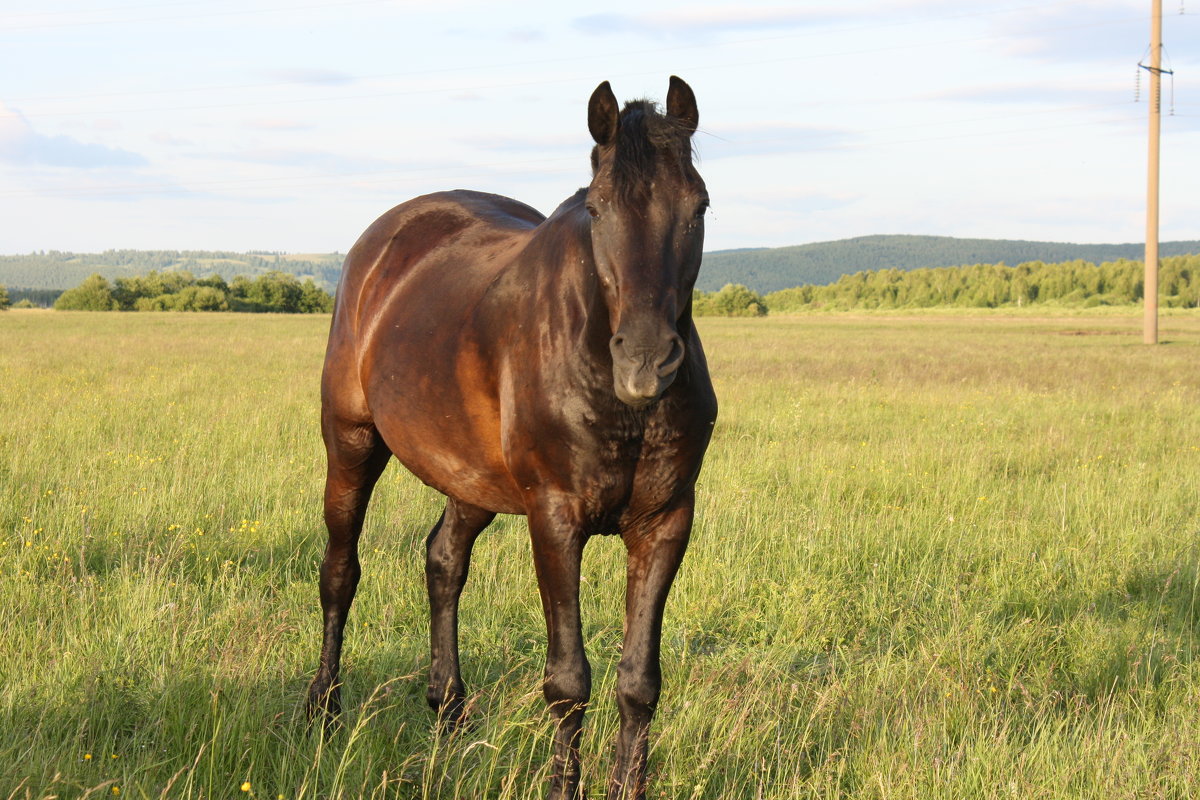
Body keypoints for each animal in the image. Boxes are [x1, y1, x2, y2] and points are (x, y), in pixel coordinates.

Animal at [309, 74, 715, 800]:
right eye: (598, 210)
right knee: (340, 570)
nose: (646, 362)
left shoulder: (666, 521)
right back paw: (323, 710)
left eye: (699, 206)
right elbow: (569, 680)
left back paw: (448, 712)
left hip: (470, 477)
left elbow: (639, 683)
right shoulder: (554, 519)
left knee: (444, 559)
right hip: (351, 440)